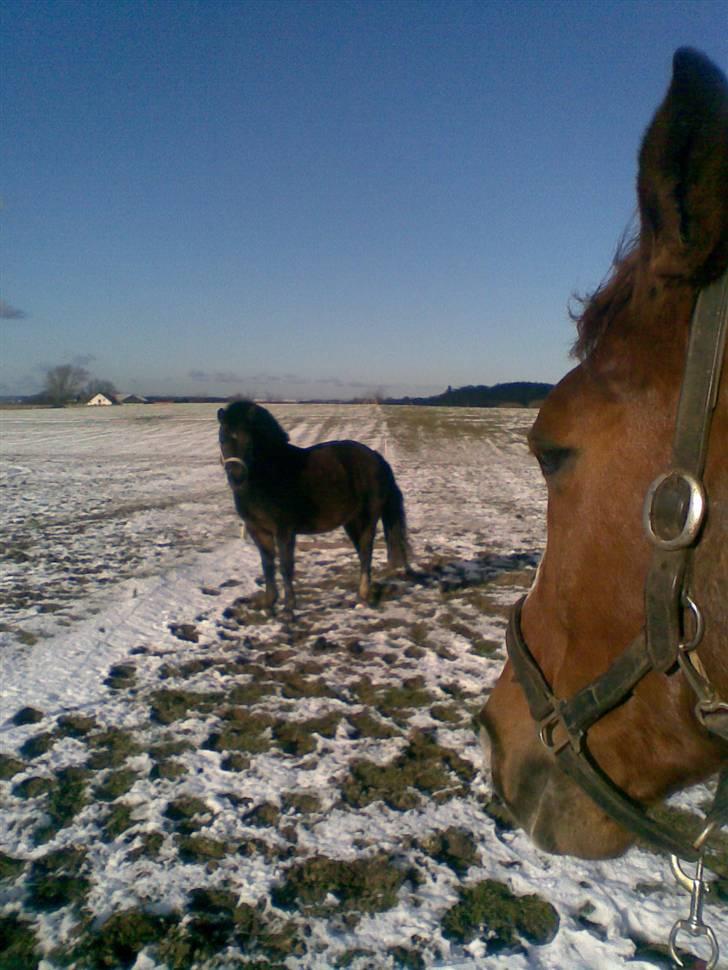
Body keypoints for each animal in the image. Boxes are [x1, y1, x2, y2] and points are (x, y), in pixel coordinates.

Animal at [216, 398, 410, 608]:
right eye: (222, 439)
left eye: (249, 441)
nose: (236, 477)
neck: (271, 474)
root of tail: (378, 458)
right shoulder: (257, 530)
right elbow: (267, 565)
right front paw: (269, 602)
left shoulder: (285, 531)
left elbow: (285, 566)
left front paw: (289, 608)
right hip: (351, 522)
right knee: (362, 552)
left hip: (367, 519)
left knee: (366, 551)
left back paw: (363, 595)